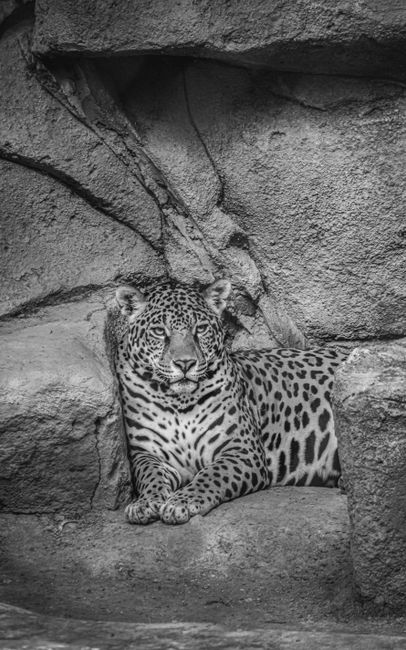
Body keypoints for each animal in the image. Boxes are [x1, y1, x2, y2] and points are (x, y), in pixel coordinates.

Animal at [115, 278, 347, 525]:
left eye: (200, 329)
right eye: (159, 331)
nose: (185, 363)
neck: (179, 401)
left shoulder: (242, 449)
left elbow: (211, 475)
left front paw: (182, 502)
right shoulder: (144, 453)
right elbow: (150, 476)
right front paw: (144, 503)